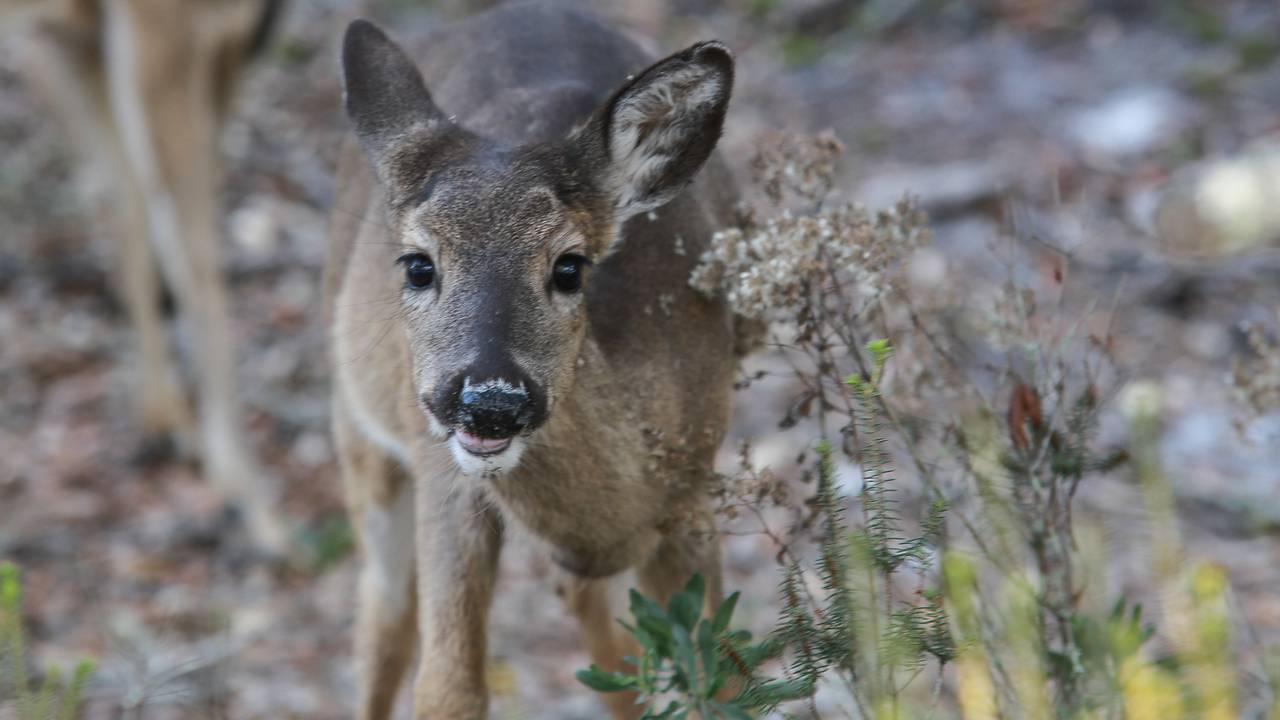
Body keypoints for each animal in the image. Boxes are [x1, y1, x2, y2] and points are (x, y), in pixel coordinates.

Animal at [3, 0, 289, 552]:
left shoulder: (66, 42)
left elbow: (129, 211)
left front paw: (165, 421)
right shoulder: (170, 26)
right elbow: (194, 255)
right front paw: (249, 501)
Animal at [326, 3, 750, 717]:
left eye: (570, 266)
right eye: (418, 264)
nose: (491, 401)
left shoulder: (693, 490)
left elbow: (723, 679)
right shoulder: (447, 479)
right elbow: (448, 687)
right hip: (363, 434)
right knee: (383, 618)